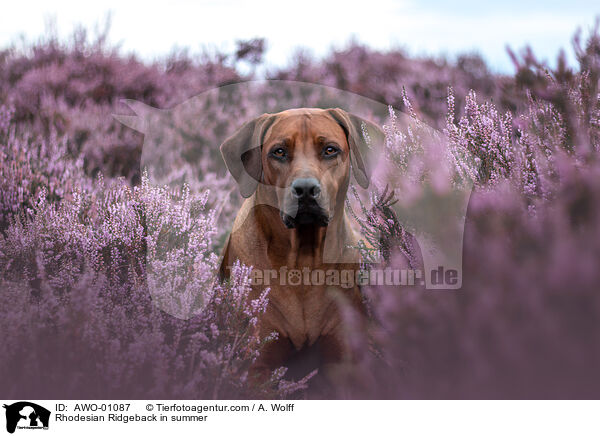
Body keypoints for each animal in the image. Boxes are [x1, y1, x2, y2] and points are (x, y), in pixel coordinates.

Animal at [218, 107, 382, 386]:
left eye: (330, 150)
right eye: (279, 152)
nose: (305, 189)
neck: (303, 261)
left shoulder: (344, 363)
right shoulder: (256, 364)